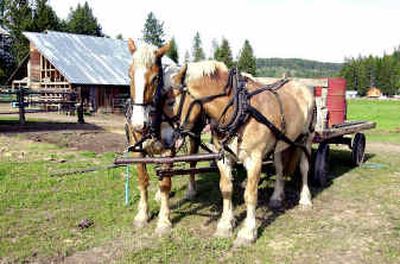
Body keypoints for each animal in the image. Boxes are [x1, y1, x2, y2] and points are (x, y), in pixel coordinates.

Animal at [126, 39, 200, 235]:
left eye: (155, 78)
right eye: (129, 75)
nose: (138, 124)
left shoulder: (169, 148)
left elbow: (166, 182)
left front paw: (164, 221)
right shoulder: (138, 148)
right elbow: (143, 179)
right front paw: (142, 215)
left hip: (195, 134)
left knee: (192, 161)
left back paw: (191, 190)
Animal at [164, 61, 318, 245]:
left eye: (171, 101)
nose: (165, 139)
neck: (239, 109)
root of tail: (301, 86)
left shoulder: (254, 160)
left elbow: (250, 195)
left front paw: (248, 232)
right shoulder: (223, 157)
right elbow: (226, 189)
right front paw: (225, 225)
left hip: (306, 138)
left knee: (304, 168)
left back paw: (305, 199)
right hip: (280, 144)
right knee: (280, 168)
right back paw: (276, 196)